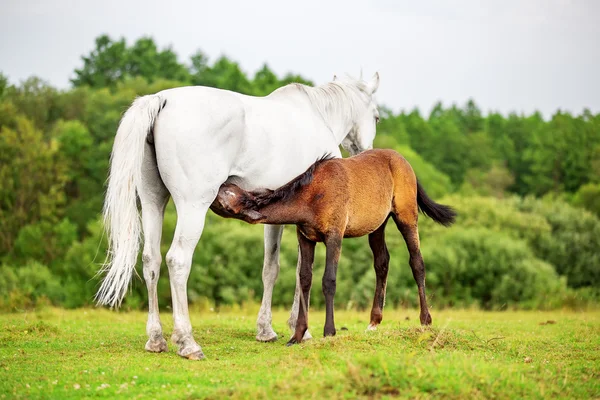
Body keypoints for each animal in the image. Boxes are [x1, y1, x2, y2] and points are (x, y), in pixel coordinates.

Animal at [97, 72, 380, 360]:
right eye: (377, 117)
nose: (365, 151)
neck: (317, 114)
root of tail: (161, 99)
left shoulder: (275, 219)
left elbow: (271, 268)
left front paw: (266, 330)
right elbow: (302, 271)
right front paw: (301, 330)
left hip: (153, 202)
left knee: (151, 261)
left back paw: (156, 339)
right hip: (192, 207)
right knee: (177, 260)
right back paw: (188, 342)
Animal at [211, 148, 454, 346]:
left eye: (227, 193)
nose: (217, 184)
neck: (312, 196)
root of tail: (404, 161)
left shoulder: (334, 236)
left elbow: (329, 280)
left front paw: (329, 331)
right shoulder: (305, 238)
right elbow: (304, 279)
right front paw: (297, 335)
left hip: (406, 216)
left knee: (417, 261)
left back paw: (425, 320)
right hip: (377, 225)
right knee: (382, 262)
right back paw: (374, 322)